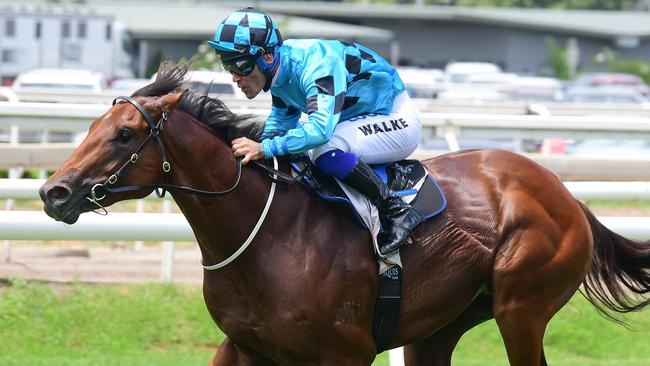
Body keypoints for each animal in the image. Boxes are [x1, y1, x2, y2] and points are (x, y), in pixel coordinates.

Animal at [39, 61, 648, 364]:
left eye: (123, 134)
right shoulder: (245, 347)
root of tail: (567, 196)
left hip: (521, 308)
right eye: (90, 127)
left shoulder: (346, 352)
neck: (266, 236)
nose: (54, 192)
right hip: (439, 328)